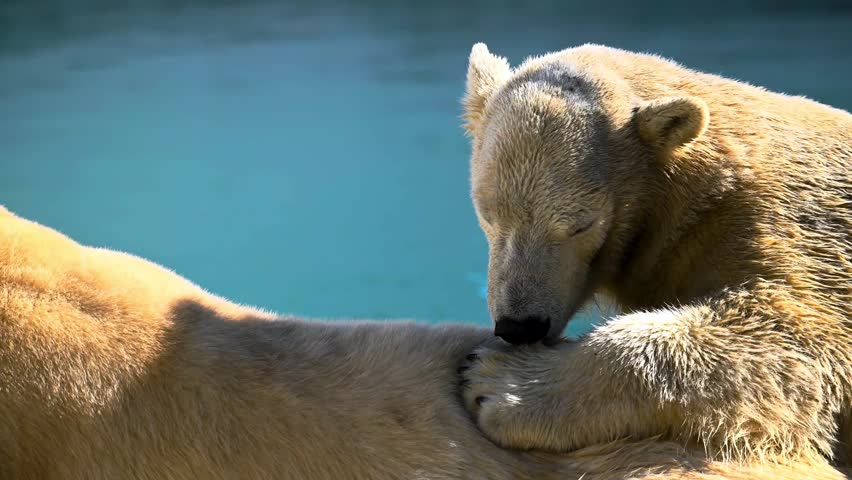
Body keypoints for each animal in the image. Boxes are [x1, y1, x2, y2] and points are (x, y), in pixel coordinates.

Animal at [459, 42, 852, 467]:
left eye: (581, 224)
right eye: (488, 214)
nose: (520, 326)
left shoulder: (796, 232)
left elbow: (795, 344)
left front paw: (500, 383)